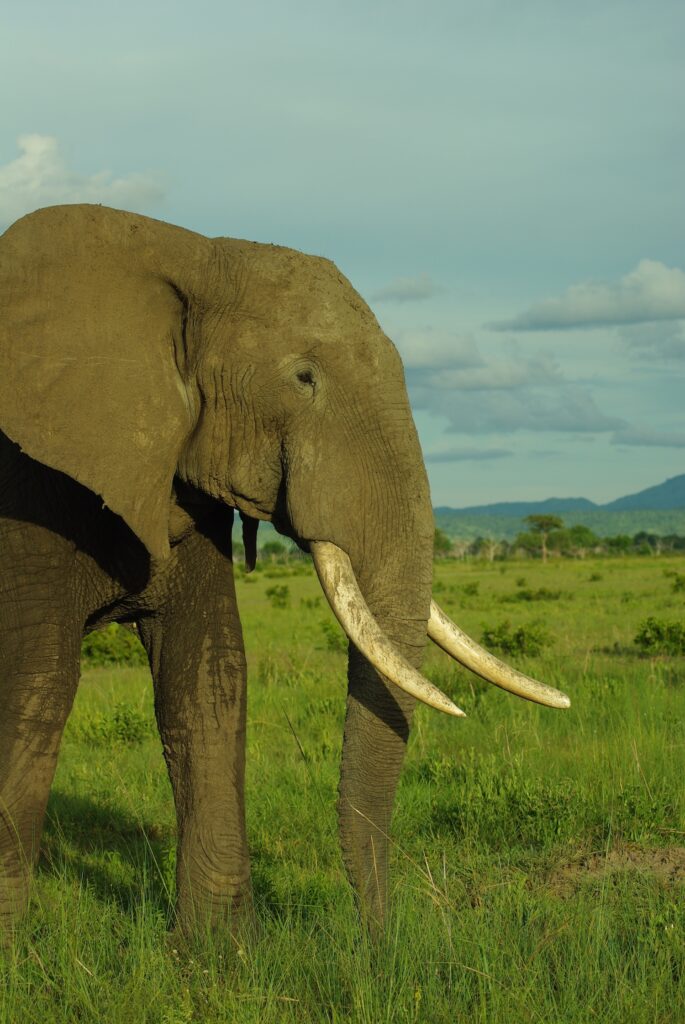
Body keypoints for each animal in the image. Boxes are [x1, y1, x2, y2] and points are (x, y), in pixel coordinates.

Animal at [0, 204, 569, 939]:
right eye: (303, 378)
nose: (380, 941)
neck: (187, 253)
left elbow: (208, 673)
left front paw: (217, 954)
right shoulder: (27, 493)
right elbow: (38, 683)